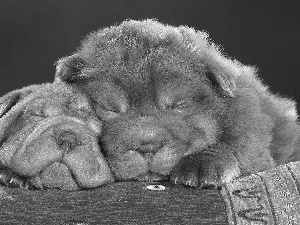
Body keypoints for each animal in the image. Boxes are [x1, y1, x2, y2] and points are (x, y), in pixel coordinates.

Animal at [54, 18, 300, 190]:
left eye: (178, 105)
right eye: (109, 108)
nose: (148, 146)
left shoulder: (251, 120)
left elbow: (240, 143)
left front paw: (202, 164)